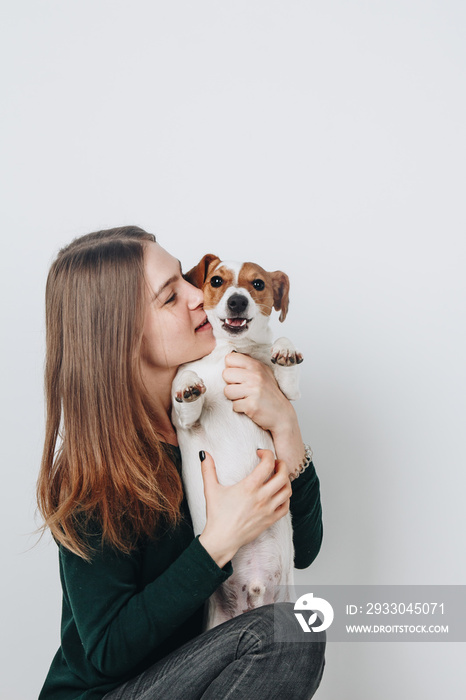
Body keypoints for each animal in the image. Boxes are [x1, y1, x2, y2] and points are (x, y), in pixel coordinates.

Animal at [171, 256, 302, 628]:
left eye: (258, 284)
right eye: (217, 280)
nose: (237, 301)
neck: (231, 351)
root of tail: (255, 592)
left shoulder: (286, 398)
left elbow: (286, 375)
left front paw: (284, 349)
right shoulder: (182, 422)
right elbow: (186, 396)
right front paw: (187, 385)